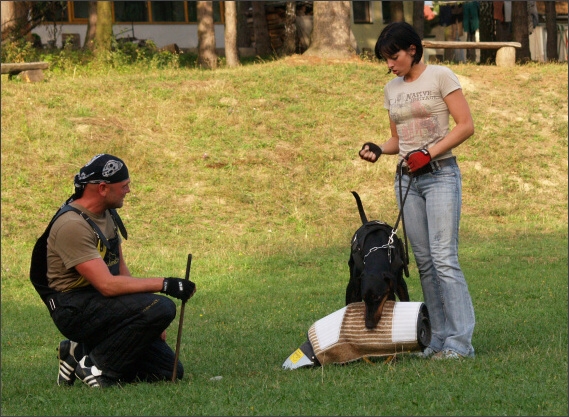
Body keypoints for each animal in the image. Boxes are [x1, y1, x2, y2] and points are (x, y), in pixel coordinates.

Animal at [342, 191, 408, 328]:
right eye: (364, 297)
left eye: (377, 297)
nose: (369, 325)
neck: (375, 258)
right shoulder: (357, 288)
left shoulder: (392, 286)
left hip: (399, 283)